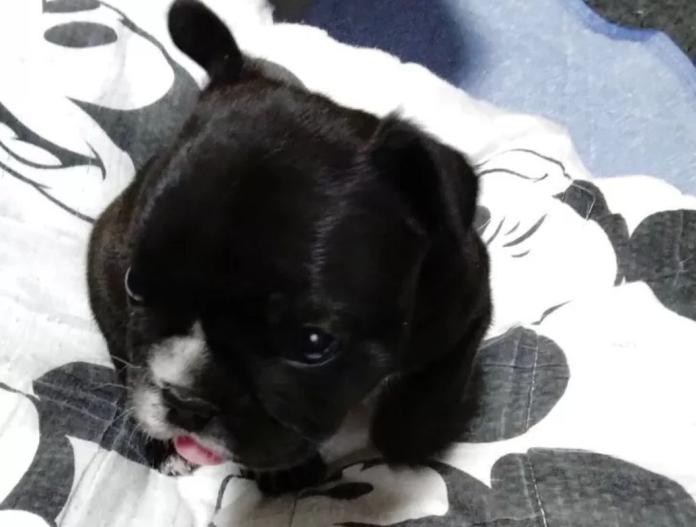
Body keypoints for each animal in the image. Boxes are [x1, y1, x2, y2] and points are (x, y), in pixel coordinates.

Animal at [86, 0, 491, 495]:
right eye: (135, 287)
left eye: (313, 344)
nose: (186, 399)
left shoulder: (470, 297)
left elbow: (432, 389)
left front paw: (421, 431)